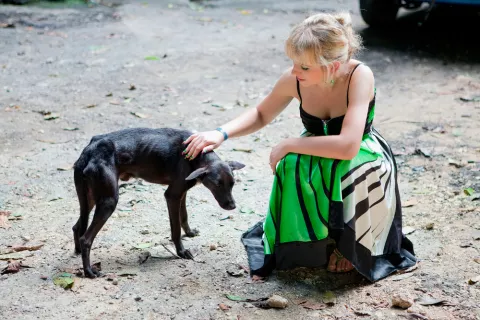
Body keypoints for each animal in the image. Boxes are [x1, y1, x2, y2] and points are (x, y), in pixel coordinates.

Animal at [72, 127, 244, 278]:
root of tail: (90, 149)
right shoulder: (172, 196)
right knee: (86, 239)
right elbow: (175, 230)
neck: (195, 156)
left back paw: (78, 252)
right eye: (217, 184)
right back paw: (89, 271)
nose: (232, 206)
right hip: (108, 200)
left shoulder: (181, 193)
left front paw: (189, 232)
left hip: (91, 198)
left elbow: (184, 216)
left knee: (77, 227)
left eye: (232, 183)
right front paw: (181, 252)